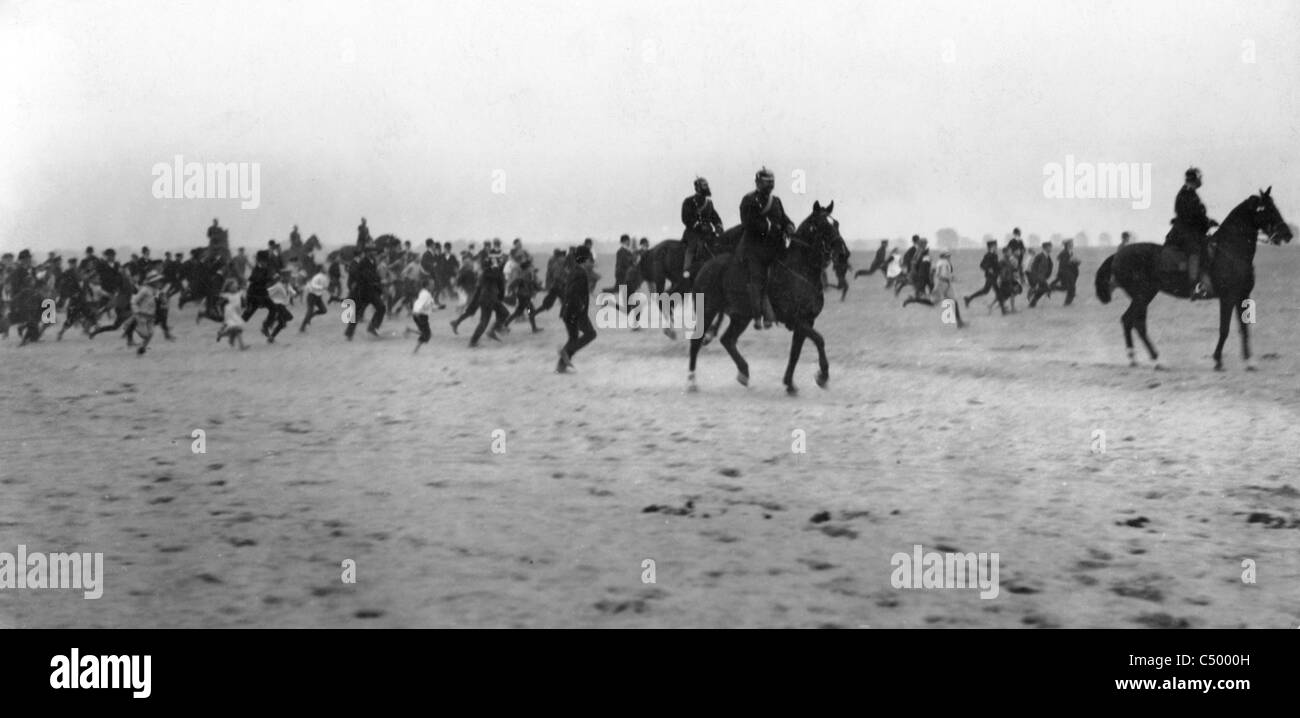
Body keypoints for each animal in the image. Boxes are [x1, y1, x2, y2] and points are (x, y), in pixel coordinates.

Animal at [686, 199, 837, 395]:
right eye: (822, 224)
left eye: (835, 223)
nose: (840, 248)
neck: (799, 271)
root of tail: (705, 266)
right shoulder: (796, 320)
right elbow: (819, 340)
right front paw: (822, 376)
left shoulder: (807, 321)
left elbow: (795, 353)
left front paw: (789, 383)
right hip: (707, 312)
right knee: (696, 341)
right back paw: (692, 382)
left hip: (741, 317)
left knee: (728, 340)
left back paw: (744, 373)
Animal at [1097, 186, 1289, 369]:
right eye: (1267, 209)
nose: (1288, 234)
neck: (1230, 251)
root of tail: (1117, 255)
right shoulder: (1227, 298)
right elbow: (1224, 329)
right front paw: (1218, 360)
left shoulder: (1242, 296)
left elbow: (1244, 328)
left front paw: (1249, 362)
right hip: (1142, 295)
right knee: (1133, 321)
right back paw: (1156, 360)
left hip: (1144, 295)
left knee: (1132, 322)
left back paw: (1135, 358)